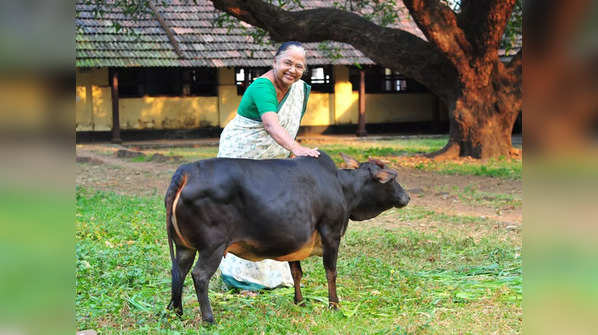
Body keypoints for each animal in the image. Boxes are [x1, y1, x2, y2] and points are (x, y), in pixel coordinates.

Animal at [165, 152, 412, 322]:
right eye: (391, 180)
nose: (407, 197)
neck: (343, 188)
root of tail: (186, 171)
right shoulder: (332, 234)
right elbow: (331, 272)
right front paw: (334, 305)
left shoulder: (294, 242)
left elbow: (296, 273)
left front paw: (299, 302)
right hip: (212, 246)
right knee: (199, 276)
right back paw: (208, 319)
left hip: (184, 247)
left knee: (178, 271)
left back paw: (176, 312)